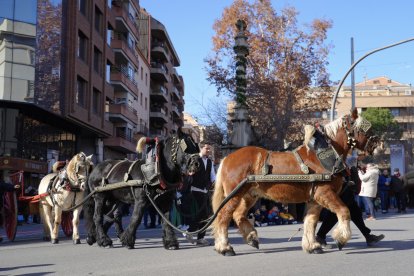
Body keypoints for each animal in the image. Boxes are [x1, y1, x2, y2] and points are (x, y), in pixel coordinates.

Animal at [212, 108, 380, 256]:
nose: (376, 143)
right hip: (234, 195)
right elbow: (344, 211)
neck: (321, 157)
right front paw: (341, 238)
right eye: (365, 129)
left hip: (249, 195)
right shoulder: (325, 193)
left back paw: (251, 238)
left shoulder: (315, 198)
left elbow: (311, 221)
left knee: (238, 215)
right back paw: (225, 248)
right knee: (223, 217)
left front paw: (312, 246)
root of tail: (227, 158)